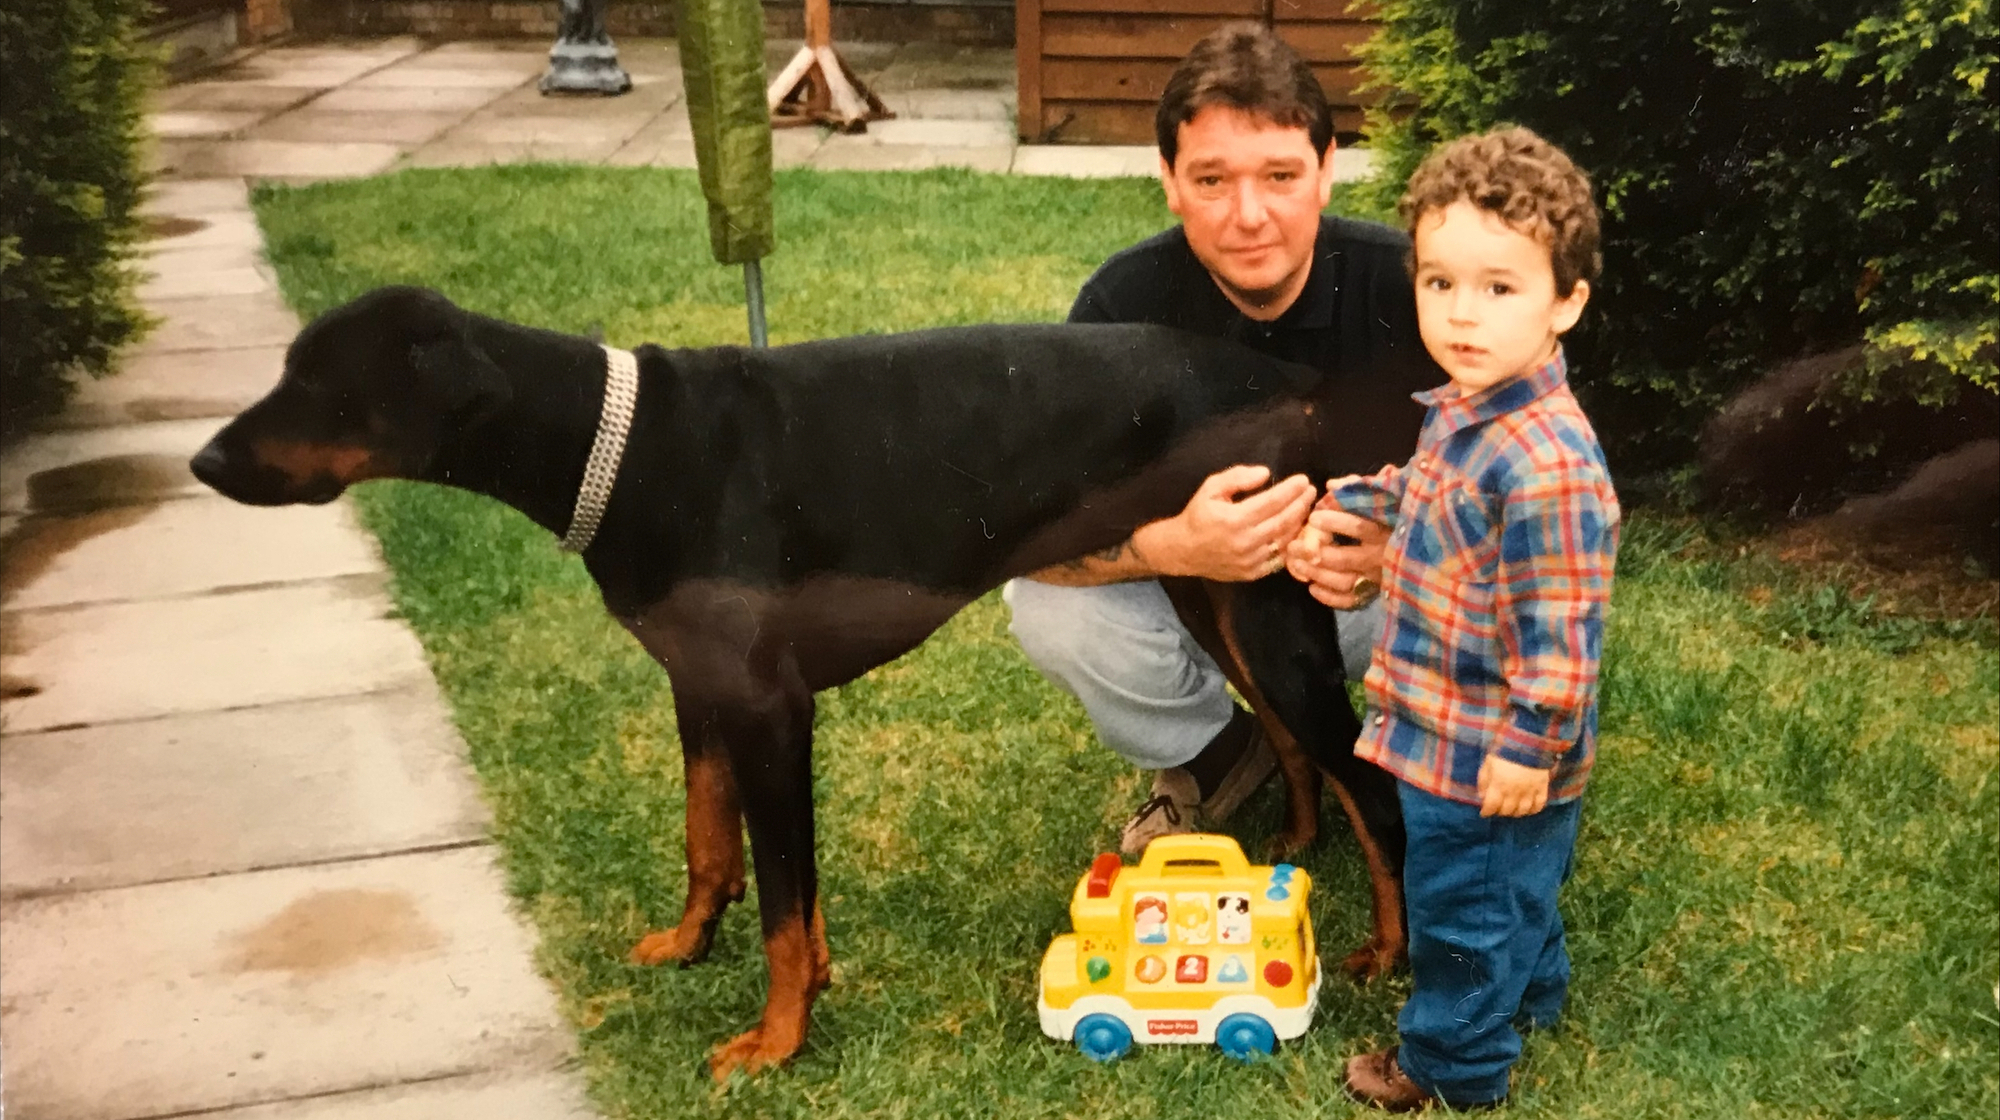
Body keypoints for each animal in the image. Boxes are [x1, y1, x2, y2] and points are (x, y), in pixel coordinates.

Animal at [191, 284, 1424, 1080]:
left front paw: (774, 1041)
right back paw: (1292, 846)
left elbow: (783, 902)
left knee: (1377, 789)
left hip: (1263, 610)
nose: (202, 461)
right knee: (1295, 745)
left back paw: (1386, 952)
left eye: (320, 384)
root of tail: (1290, 377)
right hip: (1210, 579)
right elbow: (716, 845)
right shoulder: (702, 694)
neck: (623, 452)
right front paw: (694, 945)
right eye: (287, 369)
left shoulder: (769, 711)